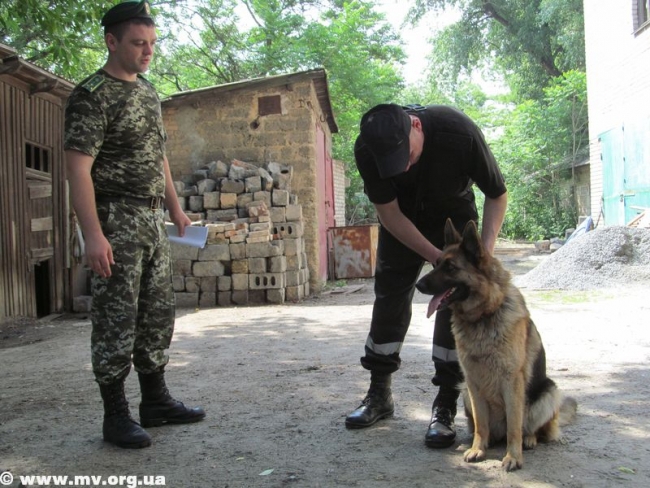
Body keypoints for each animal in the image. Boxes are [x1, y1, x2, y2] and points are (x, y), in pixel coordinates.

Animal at [412, 219, 576, 470]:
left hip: (549, 392)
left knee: (534, 429)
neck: (484, 316)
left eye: (450, 268)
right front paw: (478, 449)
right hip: (465, 392)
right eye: (437, 264)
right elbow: (481, 424)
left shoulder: (512, 382)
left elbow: (514, 426)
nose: (418, 284)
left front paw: (513, 457)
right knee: (488, 428)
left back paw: (529, 439)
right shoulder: (472, 382)